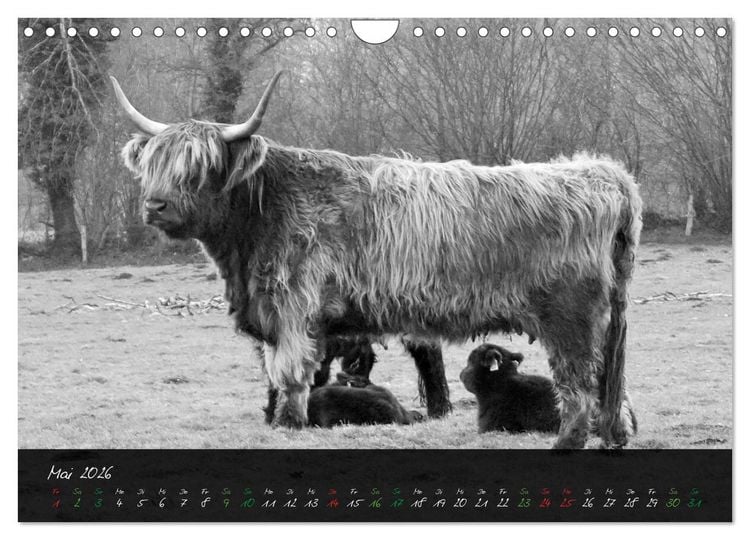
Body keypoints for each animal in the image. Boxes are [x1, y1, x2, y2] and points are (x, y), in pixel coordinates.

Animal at [112, 71, 641, 449]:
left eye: (199, 168)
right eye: (154, 165)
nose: (155, 205)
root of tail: (603, 172)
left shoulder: (292, 309)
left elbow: (289, 376)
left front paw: (288, 426)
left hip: (570, 319)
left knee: (579, 381)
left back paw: (569, 441)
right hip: (608, 319)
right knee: (610, 381)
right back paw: (614, 435)